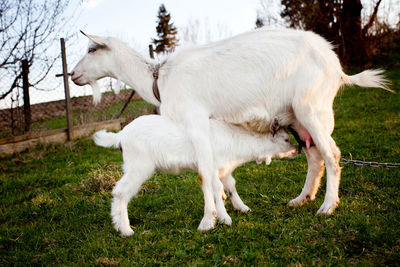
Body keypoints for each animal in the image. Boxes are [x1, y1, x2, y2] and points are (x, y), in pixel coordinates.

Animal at [70, 27, 390, 232]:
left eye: (91, 49)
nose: (73, 74)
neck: (159, 79)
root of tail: (337, 67)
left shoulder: (196, 121)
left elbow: (203, 173)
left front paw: (208, 221)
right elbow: (216, 174)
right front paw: (225, 207)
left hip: (313, 107)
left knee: (332, 154)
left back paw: (328, 206)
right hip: (296, 115)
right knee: (314, 155)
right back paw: (302, 199)